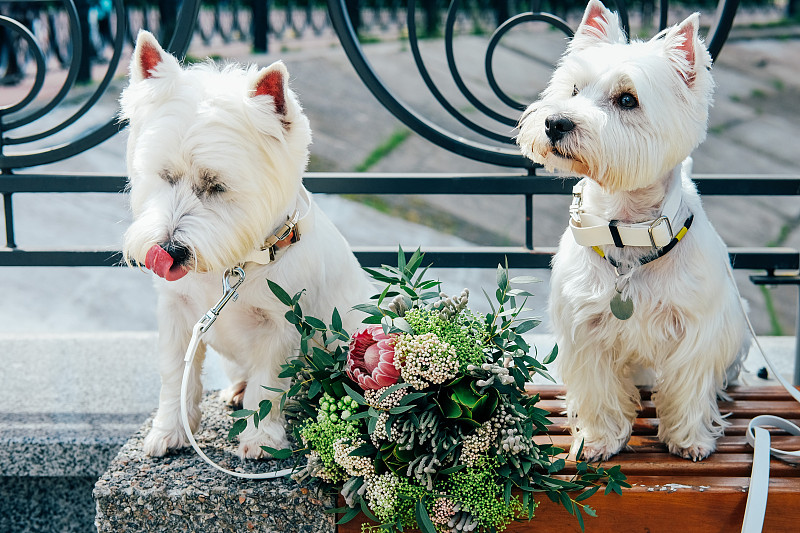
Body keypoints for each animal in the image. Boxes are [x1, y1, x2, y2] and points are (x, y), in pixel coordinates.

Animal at [122, 32, 376, 458]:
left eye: (217, 186)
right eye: (164, 176)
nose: (169, 252)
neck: (232, 265)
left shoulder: (281, 324)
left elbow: (269, 386)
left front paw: (260, 440)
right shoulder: (176, 313)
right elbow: (175, 375)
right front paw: (171, 431)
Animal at [520, 0, 752, 460]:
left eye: (628, 99)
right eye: (573, 90)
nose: (556, 123)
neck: (626, 230)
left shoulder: (695, 327)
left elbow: (688, 386)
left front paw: (689, 439)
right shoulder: (585, 330)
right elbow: (598, 389)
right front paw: (598, 439)